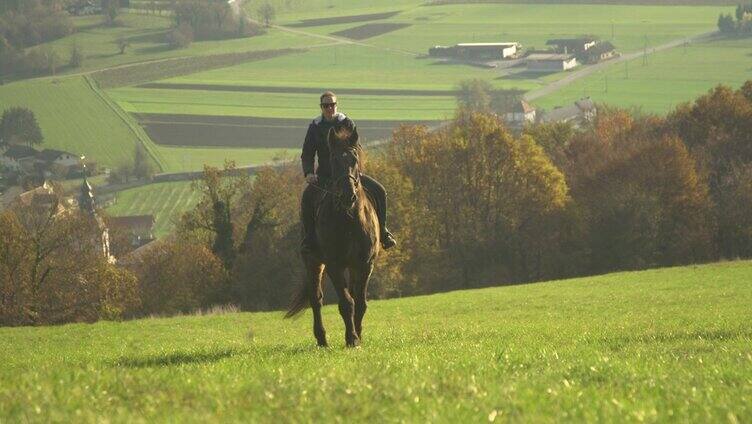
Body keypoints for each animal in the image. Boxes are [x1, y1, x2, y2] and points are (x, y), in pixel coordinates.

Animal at [288, 126, 382, 348]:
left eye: (354, 158)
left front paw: (358, 336)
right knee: (316, 299)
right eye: (333, 159)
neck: (349, 217)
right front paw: (351, 339)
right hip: (313, 261)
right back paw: (322, 339)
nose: (348, 195)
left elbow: (360, 302)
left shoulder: (365, 263)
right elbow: (346, 303)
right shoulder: (334, 264)